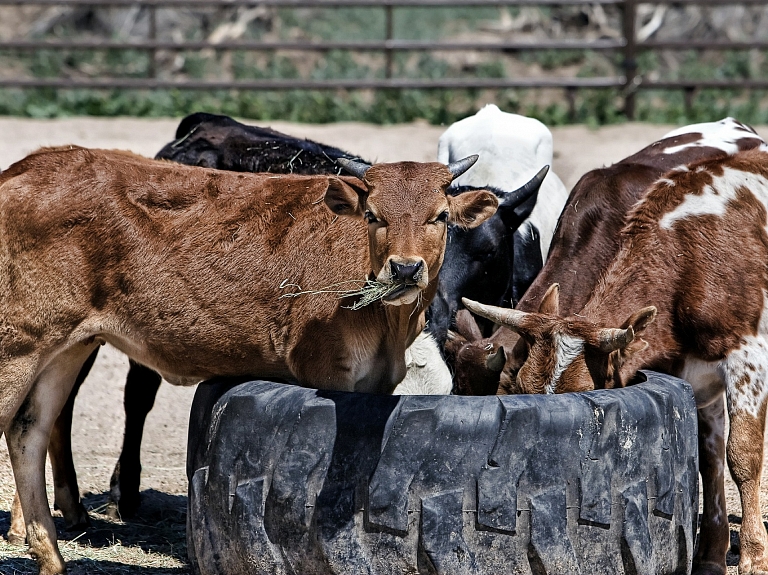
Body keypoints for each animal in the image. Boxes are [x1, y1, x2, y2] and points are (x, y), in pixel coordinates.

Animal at [1, 145, 516, 575]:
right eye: (373, 214)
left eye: (440, 216)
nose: (405, 269)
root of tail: (27, 167)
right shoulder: (327, 371)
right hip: (18, 344)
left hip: (68, 345)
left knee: (31, 430)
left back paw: (51, 557)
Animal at [464, 145, 768, 575]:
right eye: (521, 388)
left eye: (585, 392)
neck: (687, 259)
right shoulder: (698, 380)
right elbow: (708, 460)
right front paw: (710, 554)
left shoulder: (748, 359)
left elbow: (742, 456)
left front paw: (755, 555)